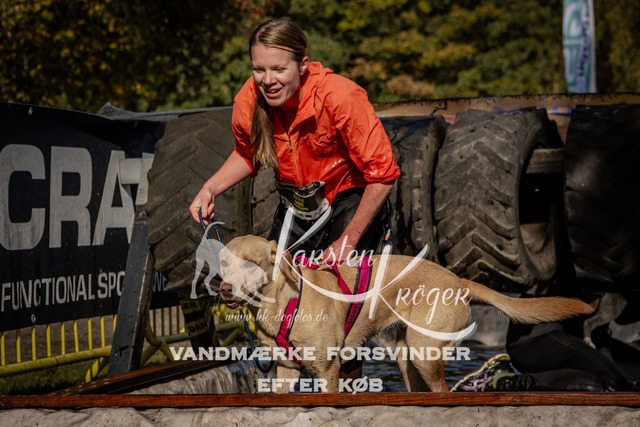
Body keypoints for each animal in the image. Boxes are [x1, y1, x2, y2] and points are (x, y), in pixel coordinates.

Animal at [217, 235, 593, 393]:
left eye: (250, 264)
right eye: (222, 263)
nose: (223, 289)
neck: (280, 305)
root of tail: (458, 280)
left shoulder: (328, 371)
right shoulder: (285, 372)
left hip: (425, 353)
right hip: (407, 357)